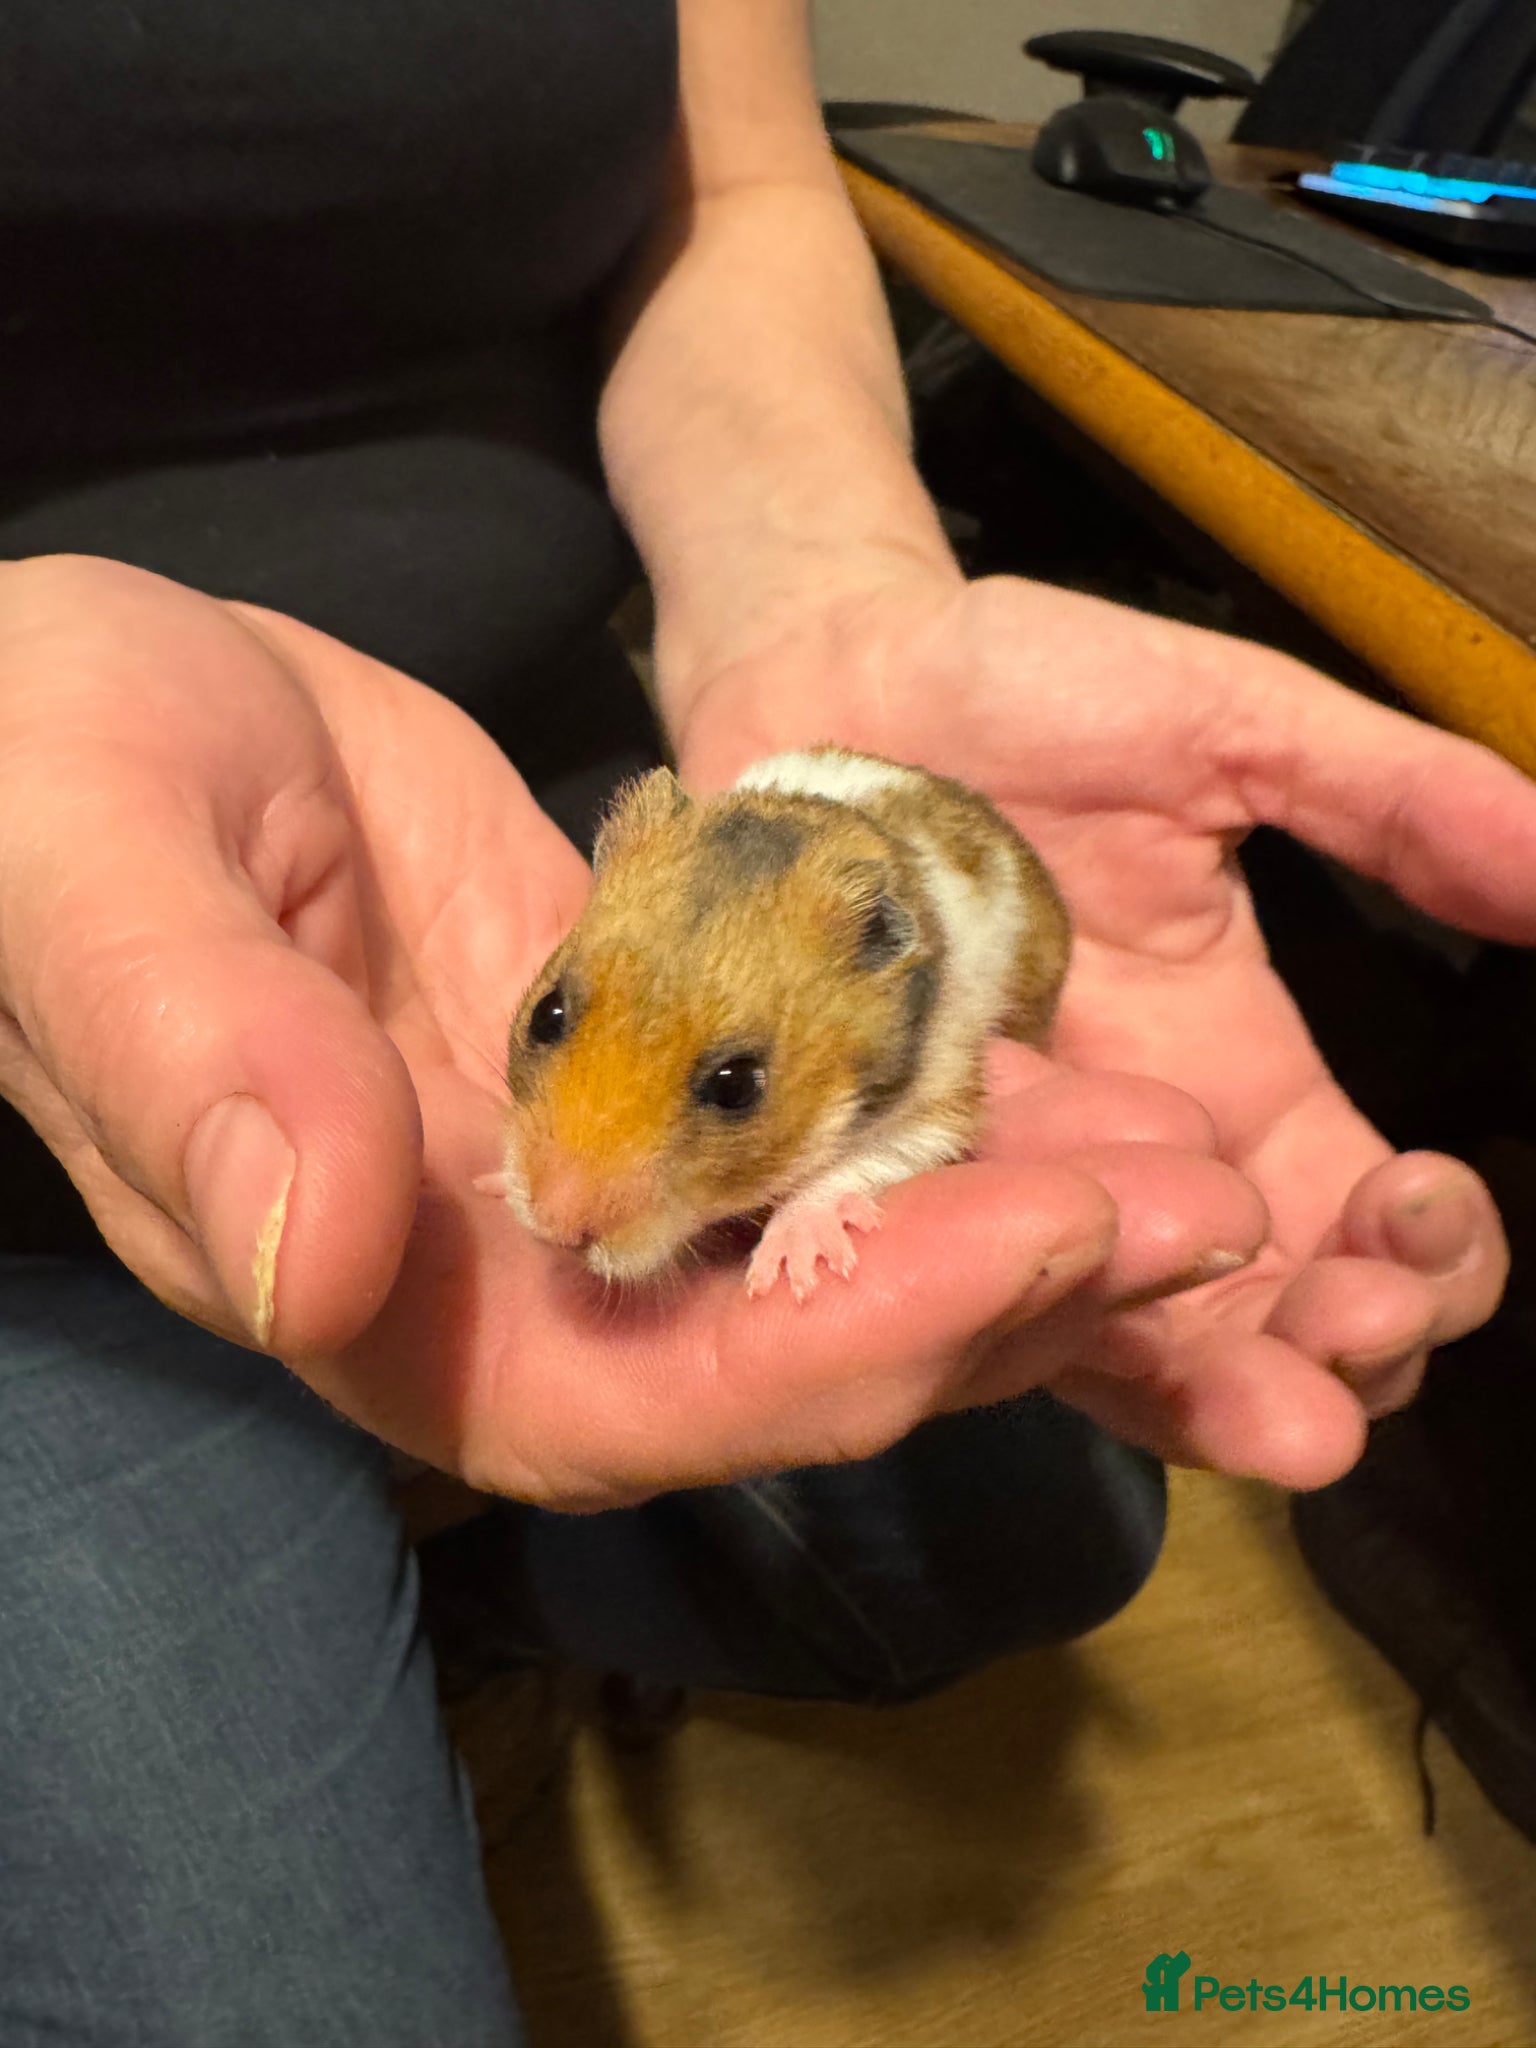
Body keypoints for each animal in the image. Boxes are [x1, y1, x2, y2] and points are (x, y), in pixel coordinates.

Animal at [490, 747, 1071, 1300]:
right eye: (547, 1015)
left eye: (737, 1086)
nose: (554, 1229)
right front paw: (490, 1180)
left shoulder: (941, 1101)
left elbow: (854, 1167)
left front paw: (793, 1268)